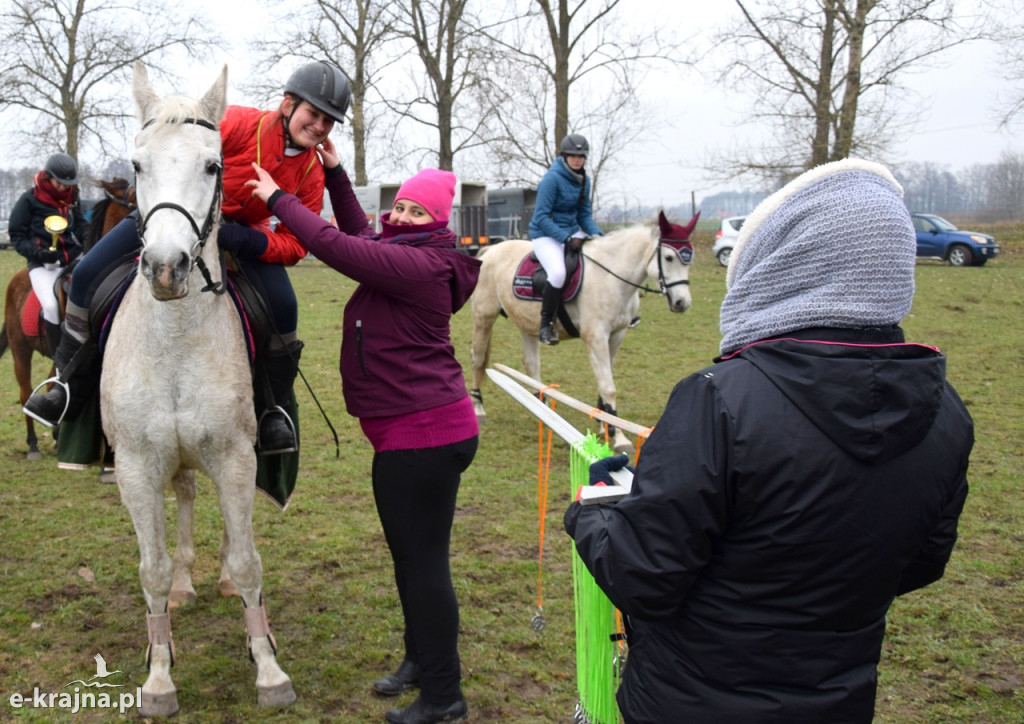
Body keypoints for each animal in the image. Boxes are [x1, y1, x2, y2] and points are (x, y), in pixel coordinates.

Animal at [100, 62, 294, 720]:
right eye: (137, 165)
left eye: (213, 166)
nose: (165, 267)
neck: (177, 340)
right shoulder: (137, 468)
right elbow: (152, 571)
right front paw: (159, 678)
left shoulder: (235, 457)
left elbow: (249, 558)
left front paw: (268, 669)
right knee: (181, 496)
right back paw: (186, 583)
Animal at [468, 206, 696, 452]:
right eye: (669, 257)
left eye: (689, 259)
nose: (682, 303)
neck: (611, 276)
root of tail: (491, 250)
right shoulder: (595, 337)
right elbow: (608, 386)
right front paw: (620, 437)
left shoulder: (616, 335)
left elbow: (605, 381)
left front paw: (605, 426)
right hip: (484, 317)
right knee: (478, 358)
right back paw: (478, 407)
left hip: (526, 322)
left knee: (531, 364)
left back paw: (542, 408)